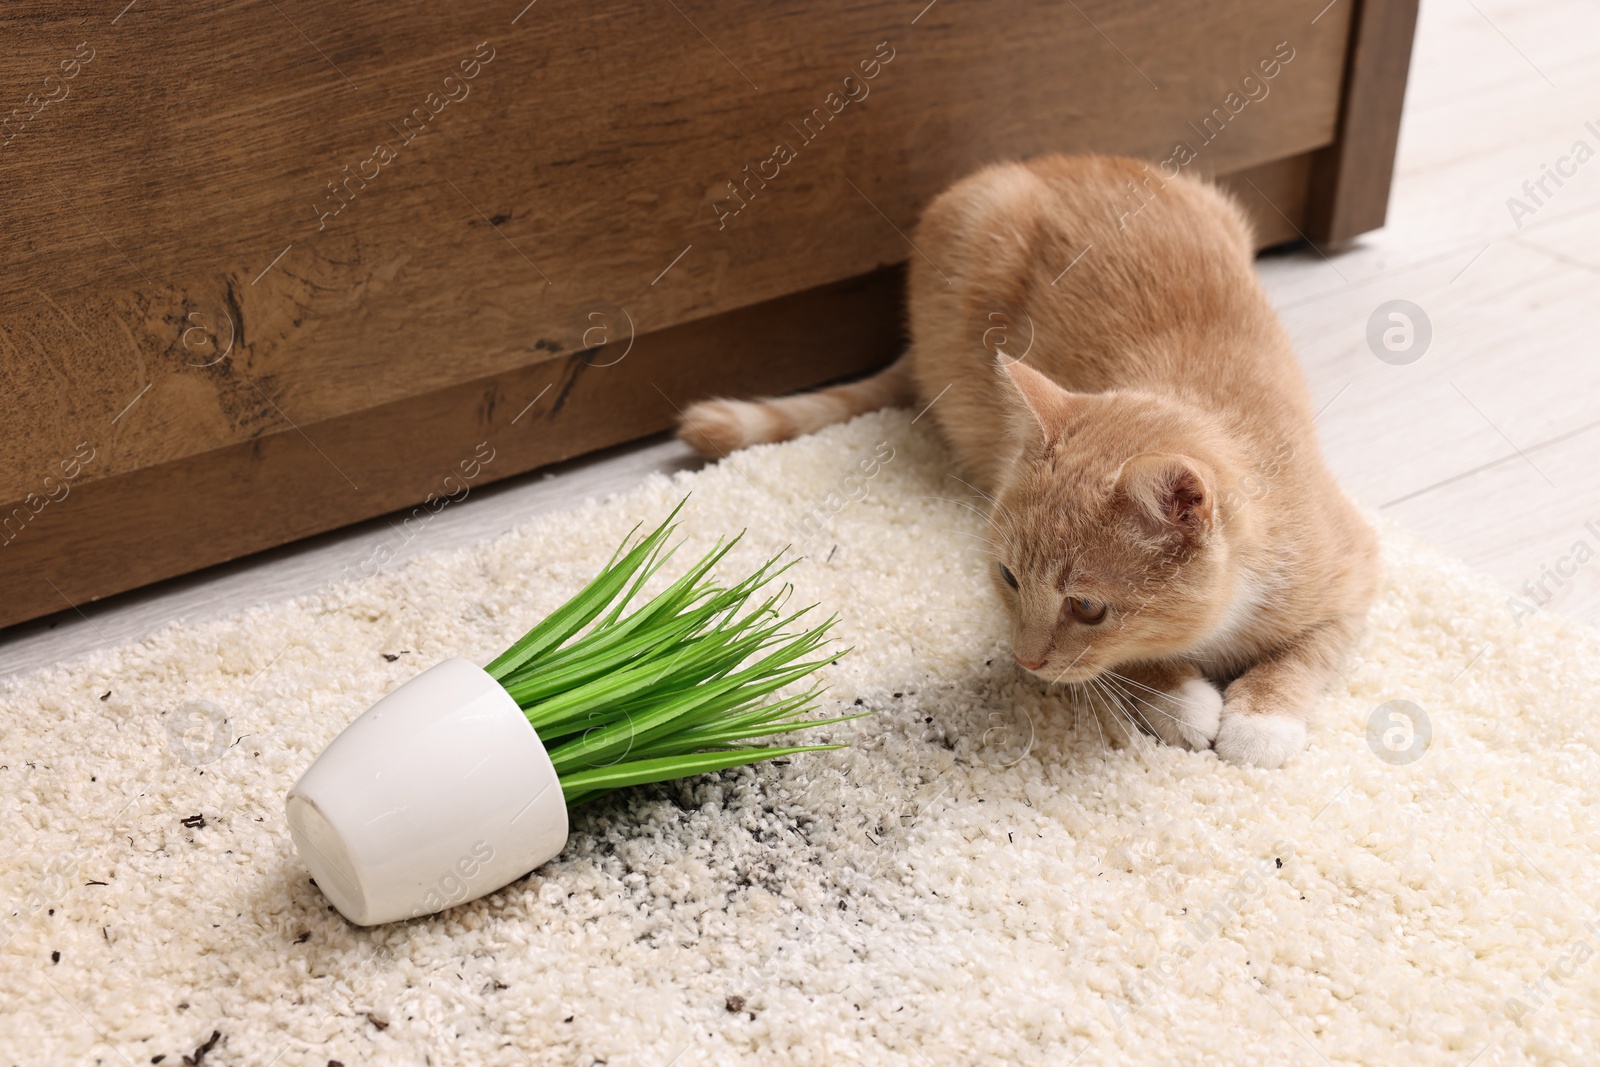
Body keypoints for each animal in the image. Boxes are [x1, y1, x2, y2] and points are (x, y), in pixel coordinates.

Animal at [675, 151, 1376, 767]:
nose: (1026, 661)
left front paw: (1261, 720)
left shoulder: (1358, 565)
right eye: (1009, 579)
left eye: (1088, 607)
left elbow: (1310, 651)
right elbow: (1142, 661)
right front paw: (1181, 699)